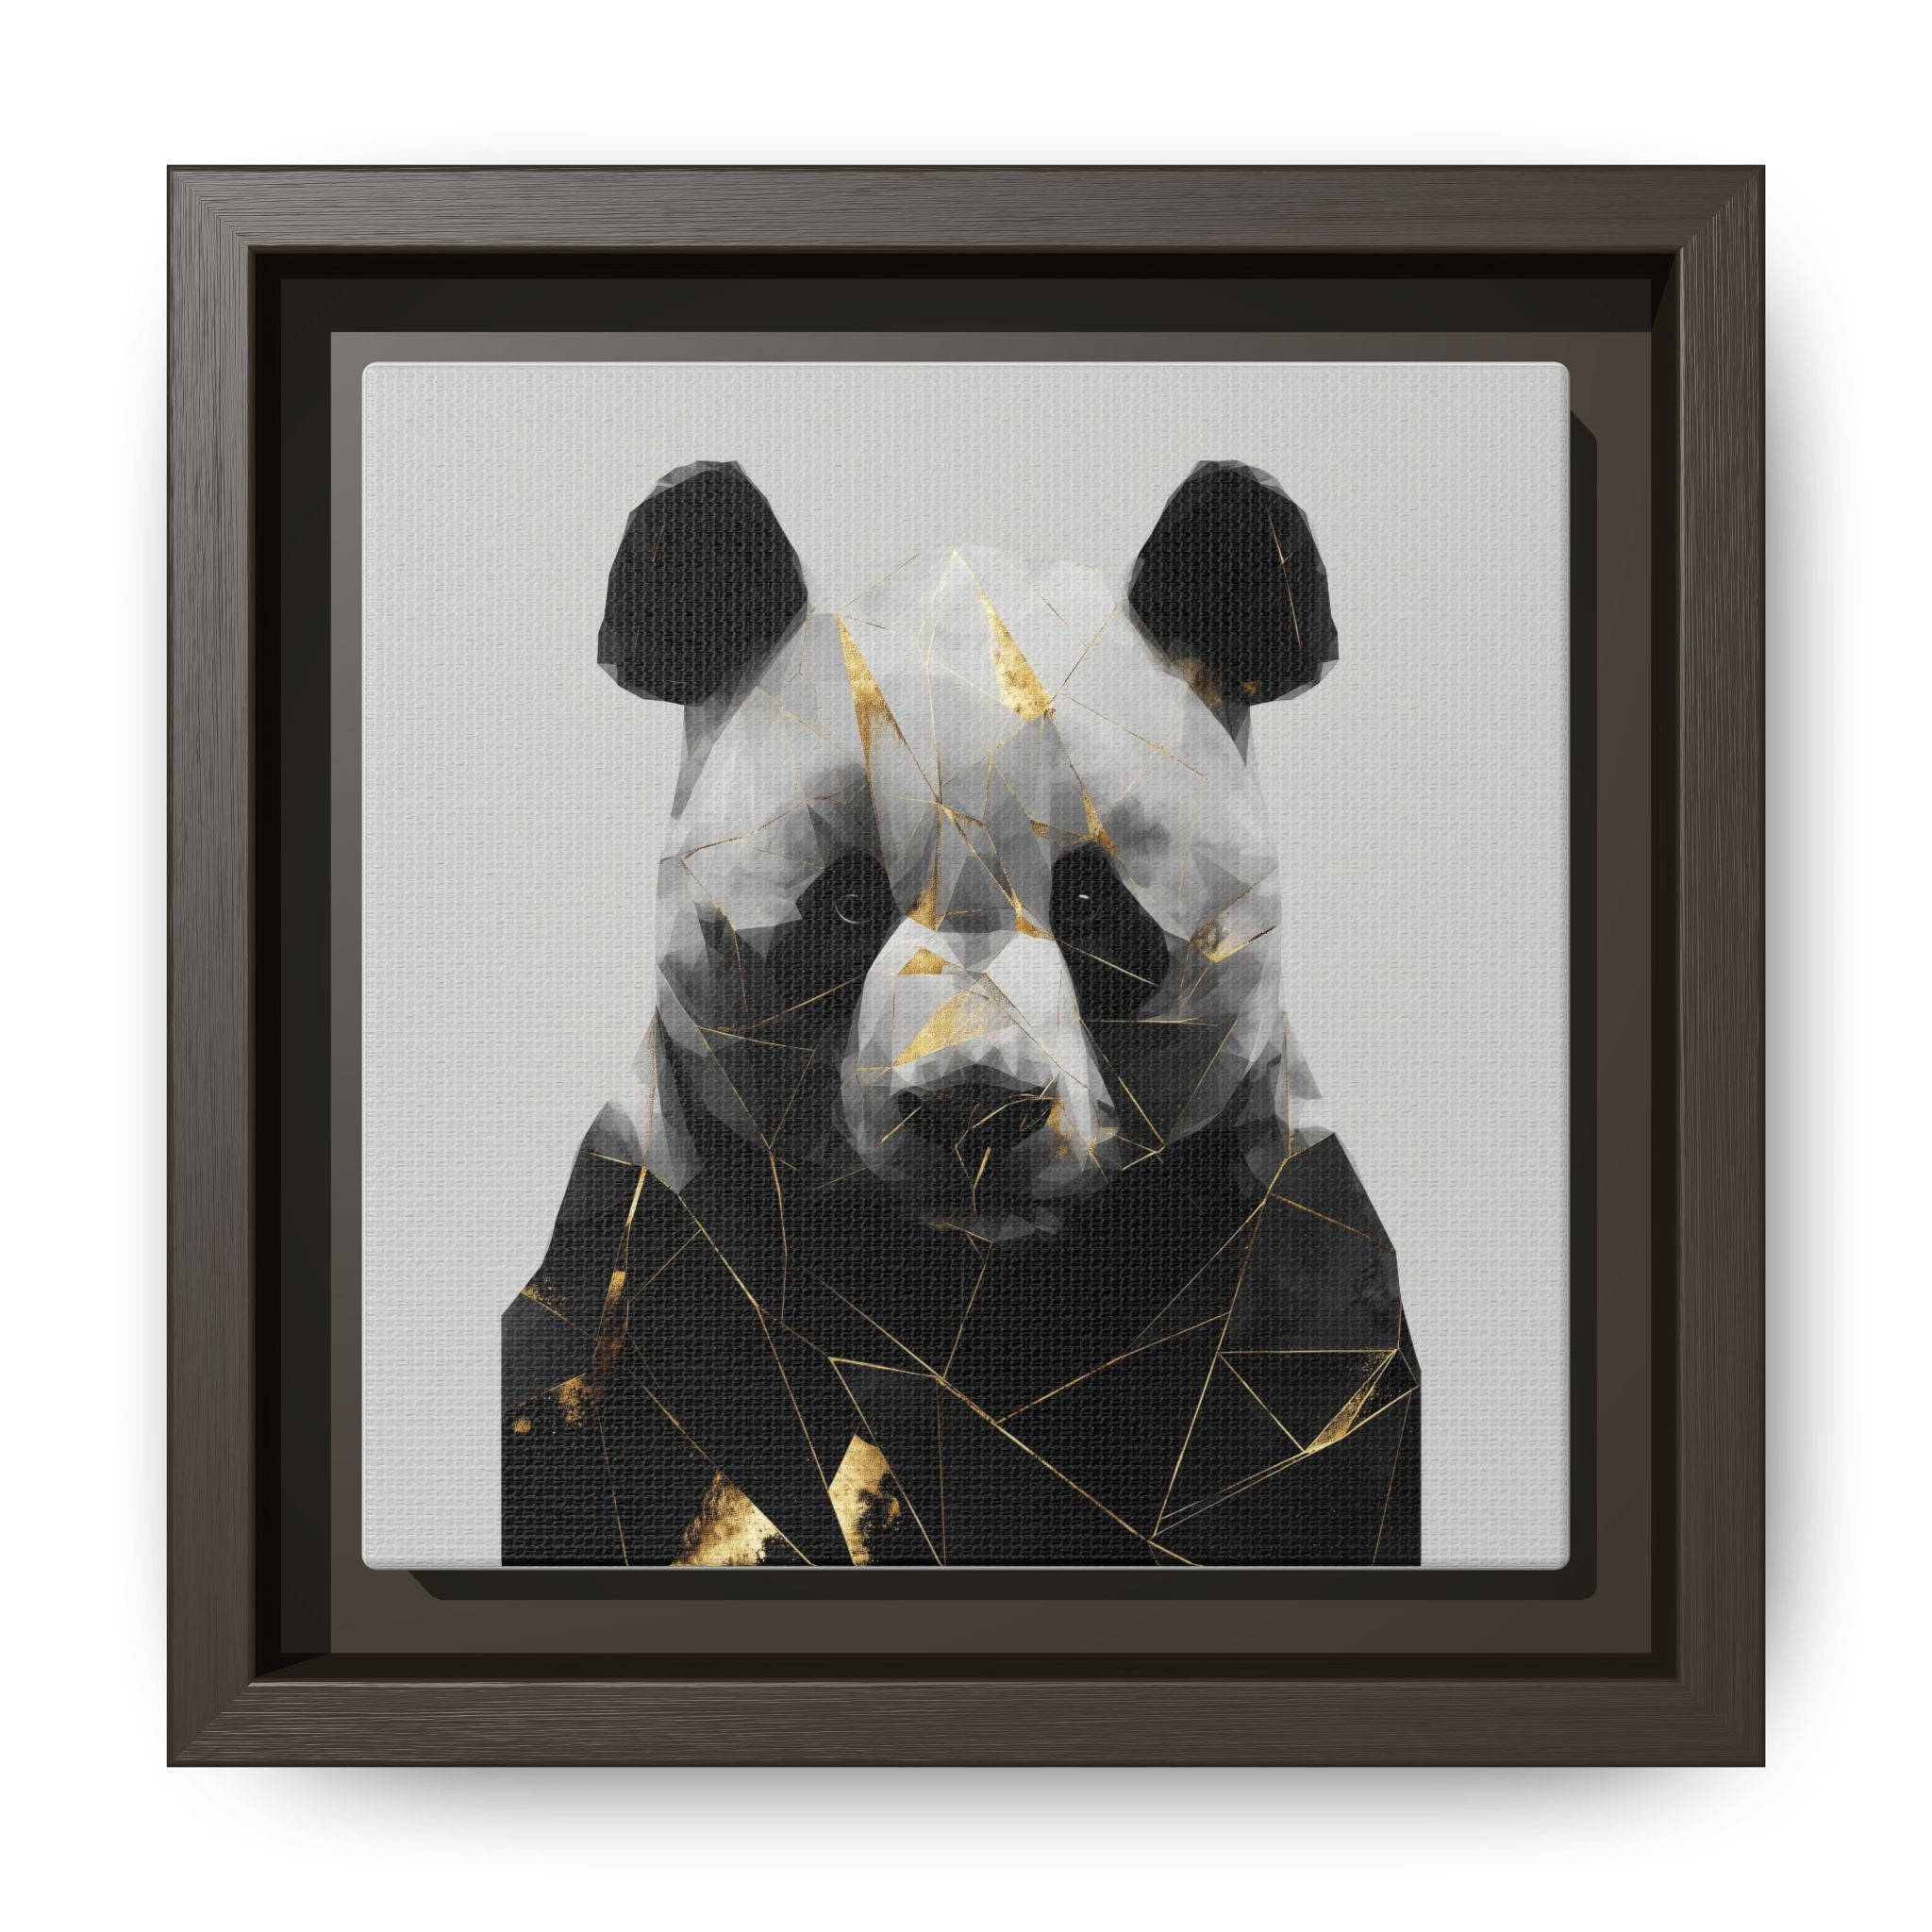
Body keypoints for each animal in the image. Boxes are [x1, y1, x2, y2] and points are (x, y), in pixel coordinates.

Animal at [502, 459, 1419, 1567]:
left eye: (1090, 900)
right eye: (848, 903)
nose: (974, 1107)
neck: (964, 1298)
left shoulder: (1280, 1290)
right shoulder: (657, 1274)